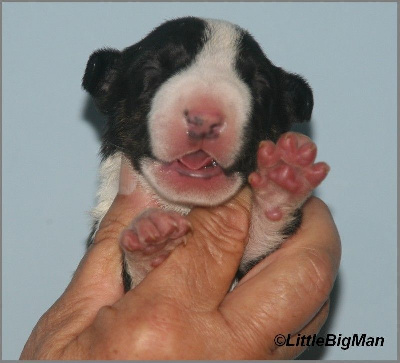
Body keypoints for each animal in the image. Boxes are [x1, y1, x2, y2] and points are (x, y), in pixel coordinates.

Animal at [83, 17, 330, 292]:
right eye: (152, 72)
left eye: (260, 88)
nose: (205, 118)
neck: (185, 207)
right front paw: (151, 242)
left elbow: (263, 240)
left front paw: (280, 183)